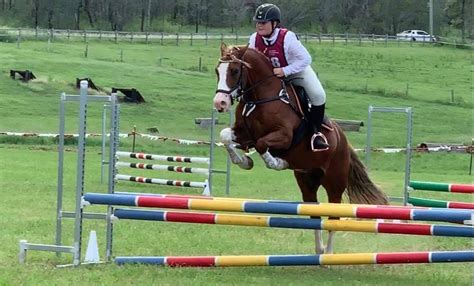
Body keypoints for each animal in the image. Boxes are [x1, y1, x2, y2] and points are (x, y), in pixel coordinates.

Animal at [215, 43, 388, 254]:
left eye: (234, 70)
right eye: (217, 71)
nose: (220, 103)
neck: (259, 98)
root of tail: (344, 142)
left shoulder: (285, 136)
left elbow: (262, 144)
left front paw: (277, 162)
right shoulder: (244, 134)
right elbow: (225, 136)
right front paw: (244, 161)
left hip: (335, 181)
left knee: (334, 216)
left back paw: (328, 254)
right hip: (307, 181)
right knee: (315, 214)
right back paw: (319, 250)